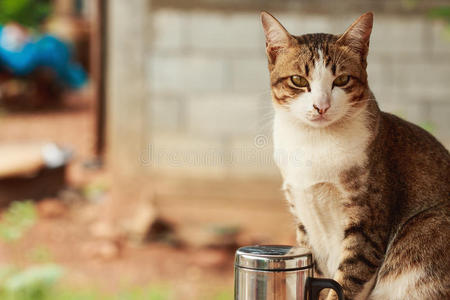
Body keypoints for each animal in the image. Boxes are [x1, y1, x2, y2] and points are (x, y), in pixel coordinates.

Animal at [260, 10, 450, 298]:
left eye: (341, 80)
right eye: (298, 80)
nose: (321, 106)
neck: (315, 143)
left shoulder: (366, 222)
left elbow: (346, 279)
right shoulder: (303, 217)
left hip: (429, 227)